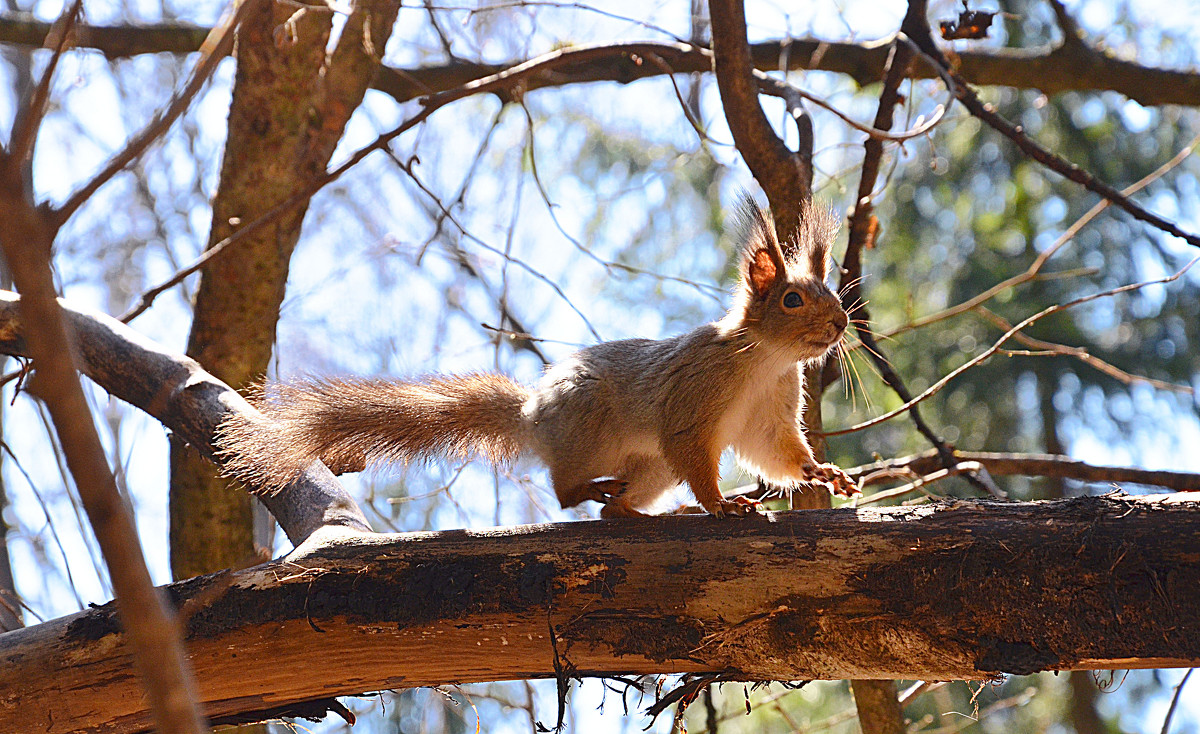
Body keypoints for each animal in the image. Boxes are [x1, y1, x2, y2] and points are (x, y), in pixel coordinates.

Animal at [216, 195, 854, 515]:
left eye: (828, 290)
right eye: (793, 299)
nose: (842, 322)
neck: (762, 359)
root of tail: (532, 414)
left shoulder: (772, 410)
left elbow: (776, 451)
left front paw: (822, 473)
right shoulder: (694, 395)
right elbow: (694, 450)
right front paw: (720, 504)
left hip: (648, 468)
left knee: (617, 509)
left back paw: (638, 510)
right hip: (590, 427)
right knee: (565, 488)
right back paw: (597, 492)